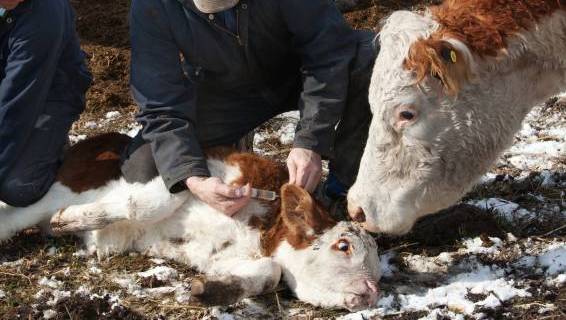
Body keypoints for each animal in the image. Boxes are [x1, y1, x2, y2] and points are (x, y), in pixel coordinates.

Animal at [1, 134, 382, 312]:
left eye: (380, 271)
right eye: (343, 245)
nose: (373, 292)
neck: (264, 227)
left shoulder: (227, 256)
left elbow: (269, 273)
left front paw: (208, 291)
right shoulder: (196, 175)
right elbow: (146, 203)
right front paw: (72, 219)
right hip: (56, 191)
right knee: (13, 215)